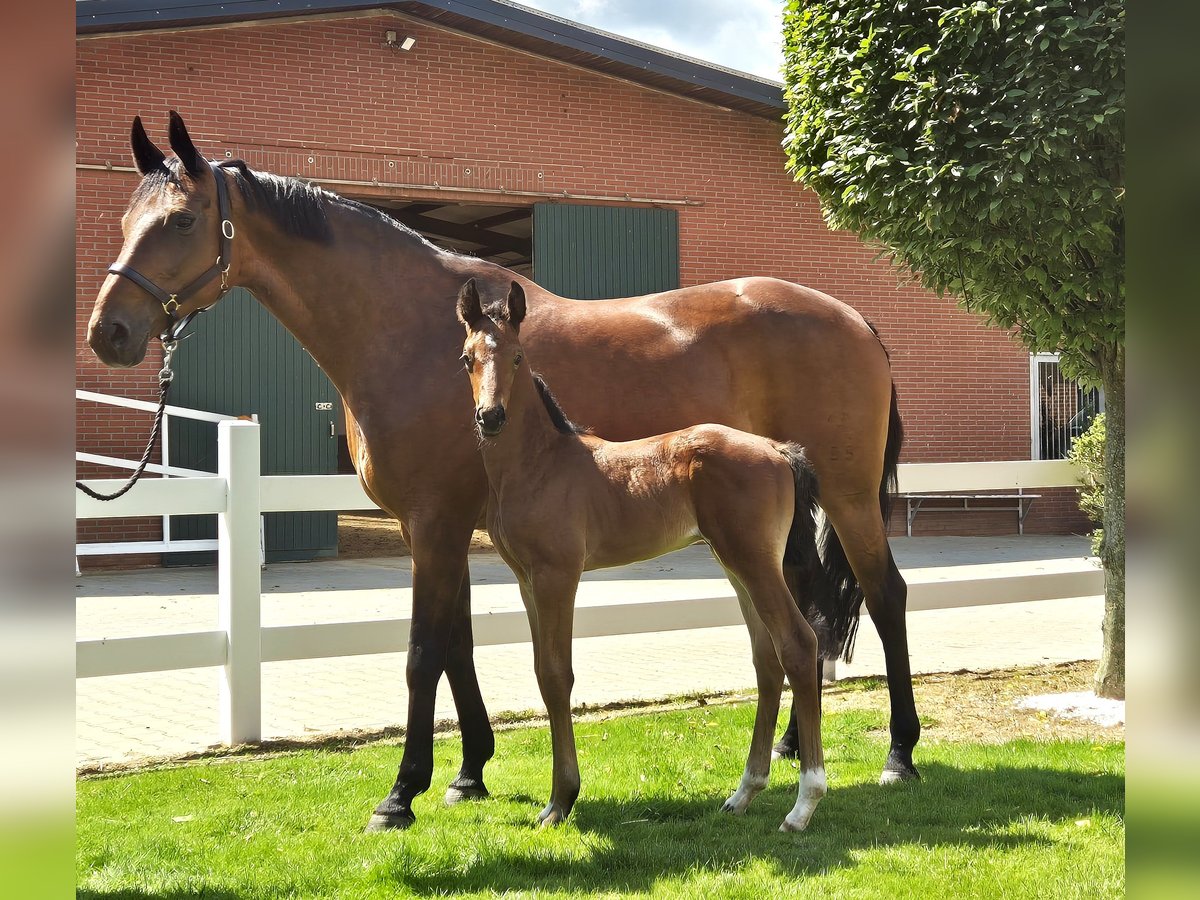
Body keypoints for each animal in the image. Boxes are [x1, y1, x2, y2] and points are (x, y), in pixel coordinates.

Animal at [456, 280, 825, 830]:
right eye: (468, 358)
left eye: (518, 357)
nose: (491, 417)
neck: (540, 464)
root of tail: (778, 450)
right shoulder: (526, 580)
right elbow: (543, 674)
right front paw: (557, 798)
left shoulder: (557, 576)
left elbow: (557, 676)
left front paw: (561, 800)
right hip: (737, 565)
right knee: (767, 659)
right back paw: (743, 793)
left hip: (756, 564)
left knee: (798, 646)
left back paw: (803, 805)